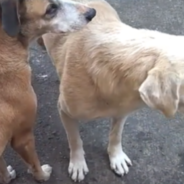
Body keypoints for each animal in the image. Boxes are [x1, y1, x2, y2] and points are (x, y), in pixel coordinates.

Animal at [0, 0, 95, 183]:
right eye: (50, 9)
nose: (92, 12)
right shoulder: (23, 136)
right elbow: (34, 164)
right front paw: (42, 175)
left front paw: (6, 176)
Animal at [37, 0, 184, 182]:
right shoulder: (65, 111)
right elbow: (75, 140)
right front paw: (78, 163)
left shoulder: (122, 111)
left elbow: (116, 135)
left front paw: (116, 157)